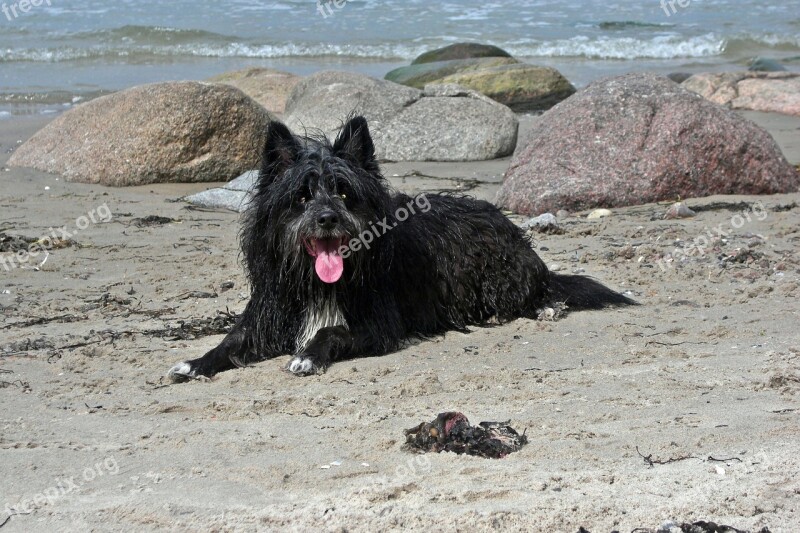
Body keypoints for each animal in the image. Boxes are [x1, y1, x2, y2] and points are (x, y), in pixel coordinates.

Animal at [167, 116, 632, 380]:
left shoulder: (378, 323)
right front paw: (194, 363)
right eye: (301, 196)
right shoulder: (271, 314)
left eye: (344, 192)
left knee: (538, 291)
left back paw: (544, 307)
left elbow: (331, 330)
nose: (327, 218)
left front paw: (308, 356)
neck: (320, 282)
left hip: (504, 275)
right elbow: (230, 342)